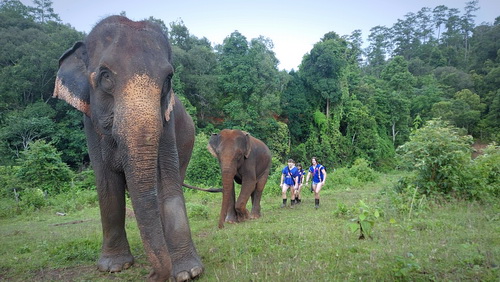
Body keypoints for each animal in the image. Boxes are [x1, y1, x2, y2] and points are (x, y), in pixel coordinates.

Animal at [52, 16, 203, 282]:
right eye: (105, 77)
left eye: (168, 80)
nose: (152, 275)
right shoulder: (90, 124)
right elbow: (107, 184)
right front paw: (113, 266)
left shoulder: (167, 123)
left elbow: (167, 182)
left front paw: (188, 272)